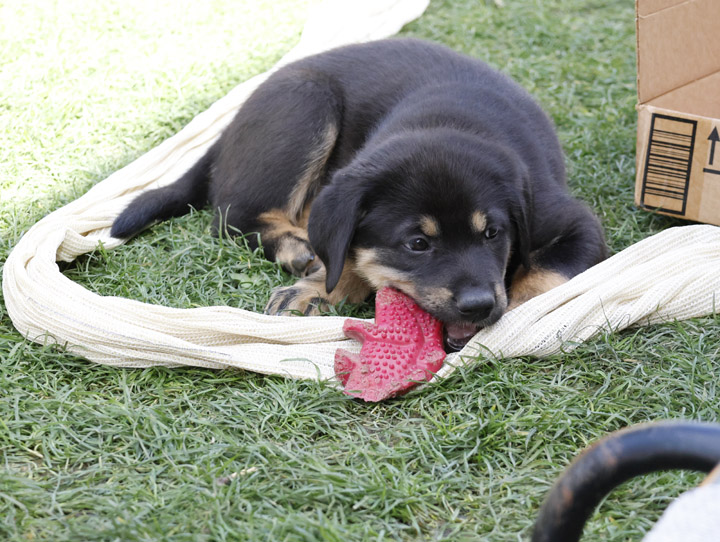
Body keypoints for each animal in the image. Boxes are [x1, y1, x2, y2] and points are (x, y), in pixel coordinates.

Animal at [112, 38, 608, 352]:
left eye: (493, 235)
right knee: (232, 217)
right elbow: (344, 253)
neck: (448, 121)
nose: (479, 306)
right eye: (417, 244)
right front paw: (317, 289)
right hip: (306, 103)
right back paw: (296, 248)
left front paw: (520, 310)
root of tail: (228, 127)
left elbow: (542, 275)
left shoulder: (571, 223)